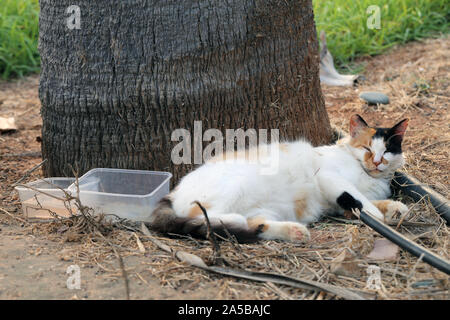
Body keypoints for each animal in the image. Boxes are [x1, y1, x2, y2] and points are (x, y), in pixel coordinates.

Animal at [149, 115, 410, 242]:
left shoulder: (338, 203)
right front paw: (379, 217)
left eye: (387, 150)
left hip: (263, 210)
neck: (368, 175)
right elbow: (358, 200)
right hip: (235, 185)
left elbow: (365, 202)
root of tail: (172, 192)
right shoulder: (329, 177)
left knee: (254, 225)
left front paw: (395, 208)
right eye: (367, 148)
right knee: (205, 217)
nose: (377, 161)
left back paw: (293, 231)